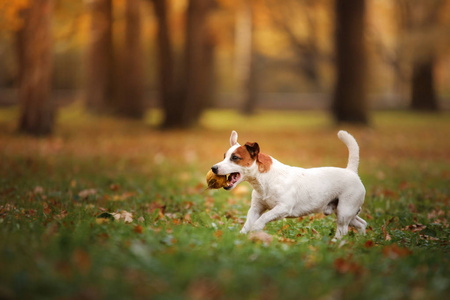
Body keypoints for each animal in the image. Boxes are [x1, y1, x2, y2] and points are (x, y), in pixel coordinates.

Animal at [211, 131, 366, 239]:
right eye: (224, 156)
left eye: (235, 158)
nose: (213, 168)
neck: (266, 180)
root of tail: (351, 171)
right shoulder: (256, 208)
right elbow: (247, 223)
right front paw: (241, 237)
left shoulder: (283, 208)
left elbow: (262, 219)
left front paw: (256, 229)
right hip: (345, 212)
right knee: (362, 224)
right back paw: (362, 239)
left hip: (344, 212)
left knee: (342, 231)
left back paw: (335, 243)